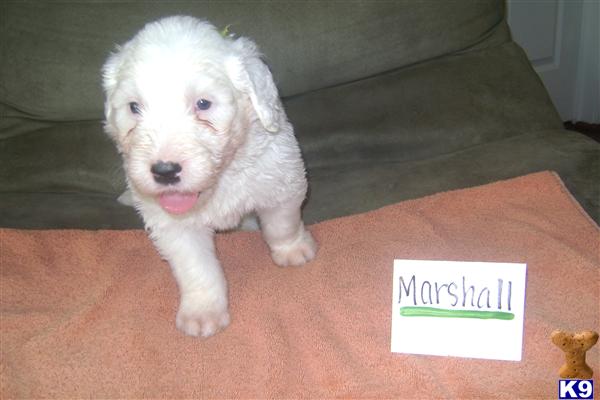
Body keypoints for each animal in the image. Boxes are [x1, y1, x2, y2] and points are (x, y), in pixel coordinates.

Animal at [102, 17, 318, 338]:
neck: (219, 183)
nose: (164, 171)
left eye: (203, 104)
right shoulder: (174, 227)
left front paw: (293, 250)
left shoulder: (280, 181)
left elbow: (282, 225)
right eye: (134, 107)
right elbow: (197, 269)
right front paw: (203, 313)